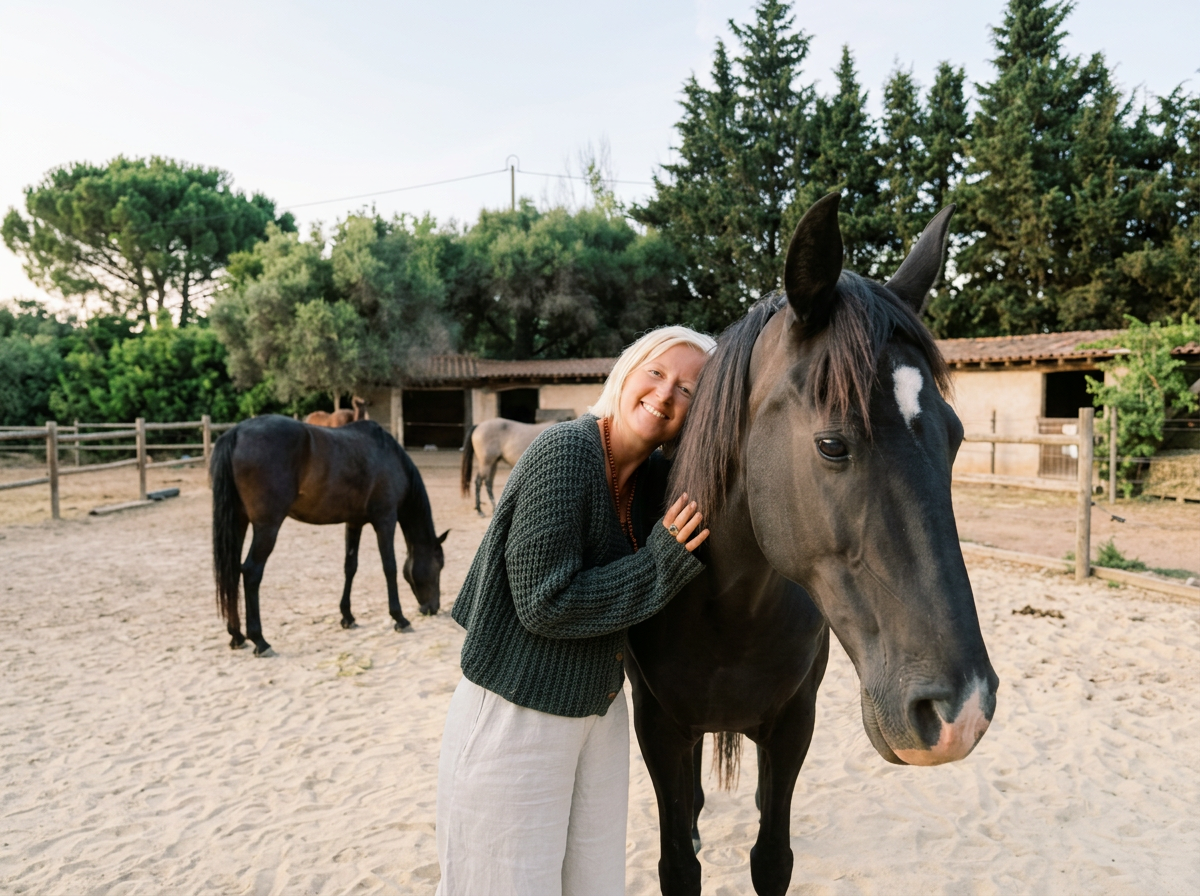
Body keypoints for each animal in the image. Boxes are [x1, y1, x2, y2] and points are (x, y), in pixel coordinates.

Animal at [210, 415, 448, 656]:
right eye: (439, 565)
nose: (433, 608)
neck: (388, 456)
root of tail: (236, 432)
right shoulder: (385, 520)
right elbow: (389, 567)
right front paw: (399, 618)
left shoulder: (354, 522)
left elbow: (350, 567)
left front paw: (347, 616)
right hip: (267, 527)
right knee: (251, 572)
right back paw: (259, 640)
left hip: (239, 522)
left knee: (232, 571)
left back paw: (237, 636)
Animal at [625, 194, 999, 896]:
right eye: (831, 444)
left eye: (958, 437)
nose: (959, 713)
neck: (726, 610)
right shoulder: (657, 728)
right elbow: (677, 865)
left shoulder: (794, 725)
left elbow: (773, 859)